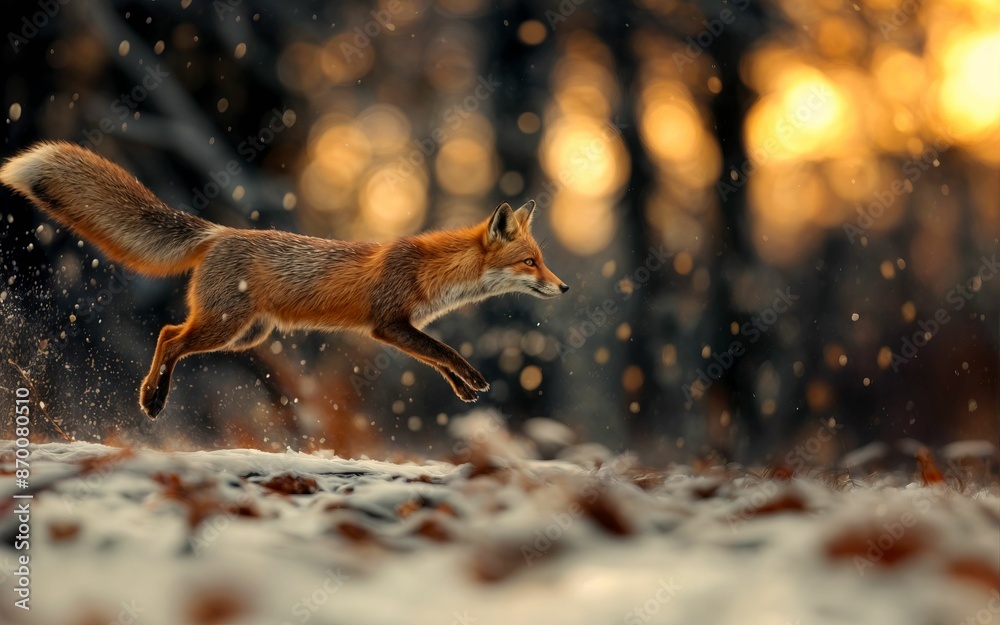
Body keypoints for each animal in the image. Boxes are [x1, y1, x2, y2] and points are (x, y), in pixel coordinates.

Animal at [0, 141, 568, 420]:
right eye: (530, 262)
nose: (563, 288)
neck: (435, 272)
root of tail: (221, 232)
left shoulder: (403, 329)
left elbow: (436, 357)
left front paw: (463, 387)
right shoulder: (387, 324)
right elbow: (444, 350)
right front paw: (472, 378)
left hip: (247, 335)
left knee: (171, 335)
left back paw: (153, 396)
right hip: (224, 326)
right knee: (167, 336)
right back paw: (151, 399)